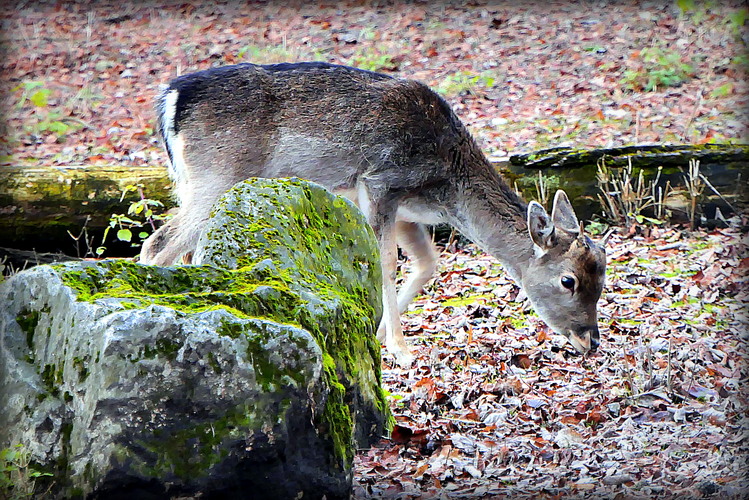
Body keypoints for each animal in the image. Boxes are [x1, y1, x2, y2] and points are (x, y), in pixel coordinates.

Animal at [140, 61, 608, 368]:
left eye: (603, 274)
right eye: (568, 281)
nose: (591, 340)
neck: (446, 187)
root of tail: (170, 100)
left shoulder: (406, 210)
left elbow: (428, 264)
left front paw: (381, 334)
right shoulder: (380, 182)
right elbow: (383, 263)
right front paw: (400, 350)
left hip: (189, 182)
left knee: (180, 247)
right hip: (217, 175)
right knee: (158, 244)